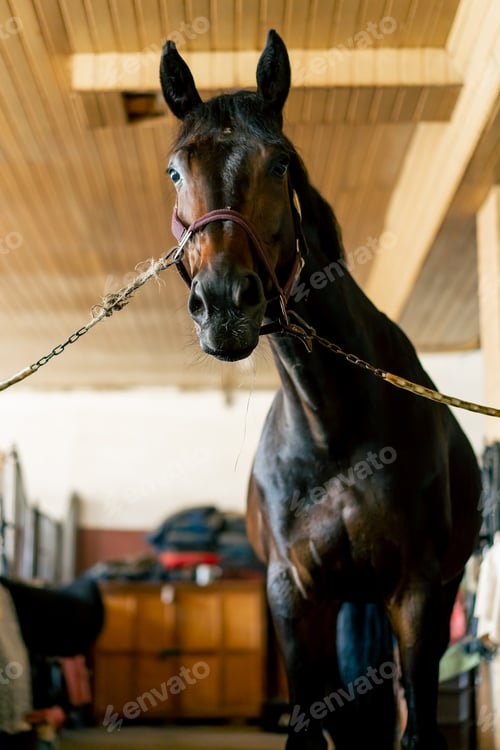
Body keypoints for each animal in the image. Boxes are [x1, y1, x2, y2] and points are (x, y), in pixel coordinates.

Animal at [159, 30, 482, 750]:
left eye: (280, 163)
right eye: (174, 170)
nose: (224, 304)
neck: (333, 427)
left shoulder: (417, 592)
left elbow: (417, 726)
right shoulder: (293, 593)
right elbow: (309, 724)